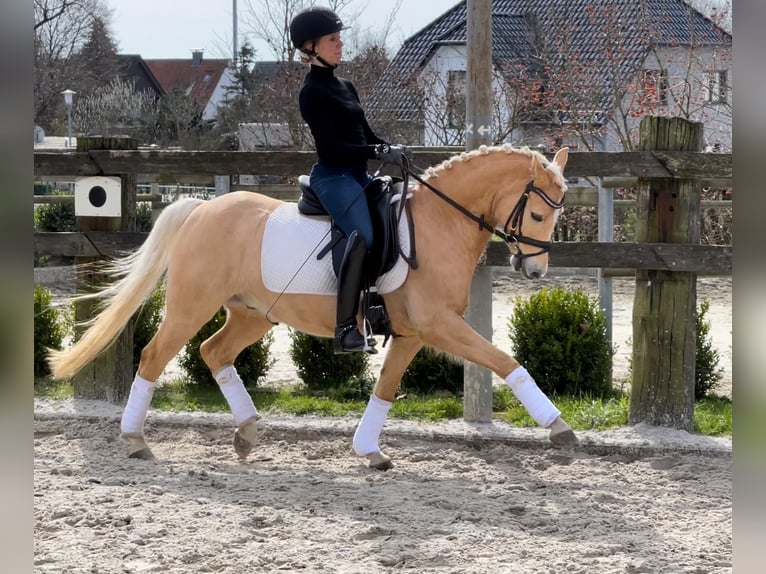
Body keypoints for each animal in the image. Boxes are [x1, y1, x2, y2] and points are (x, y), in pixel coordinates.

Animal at [48, 143, 580, 468]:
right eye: (538, 213)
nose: (535, 272)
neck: (439, 224)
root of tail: (201, 207)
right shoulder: (439, 325)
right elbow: (506, 361)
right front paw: (559, 429)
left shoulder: (412, 333)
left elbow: (386, 389)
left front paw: (368, 450)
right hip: (190, 307)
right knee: (155, 356)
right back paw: (136, 440)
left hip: (253, 315)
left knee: (214, 353)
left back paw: (246, 431)